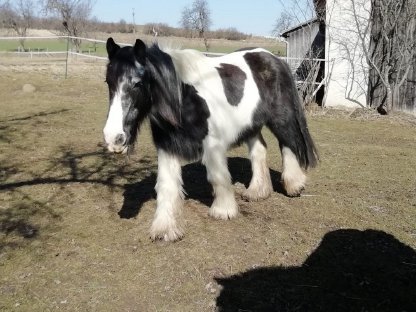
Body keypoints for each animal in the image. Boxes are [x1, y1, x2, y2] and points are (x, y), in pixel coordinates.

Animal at [102, 37, 316, 241]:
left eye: (138, 83)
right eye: (108, 82)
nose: (114, 138)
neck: (183, 97)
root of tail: (274, 58)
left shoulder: (212, 144)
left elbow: (217, 176)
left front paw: (223, 211)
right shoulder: (166, 147)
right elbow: (166, 185)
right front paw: (165, 229)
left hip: (281, 119)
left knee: (289, 144)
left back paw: (294, 185)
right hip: (251, 125)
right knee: (259, 150)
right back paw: (257, 191)